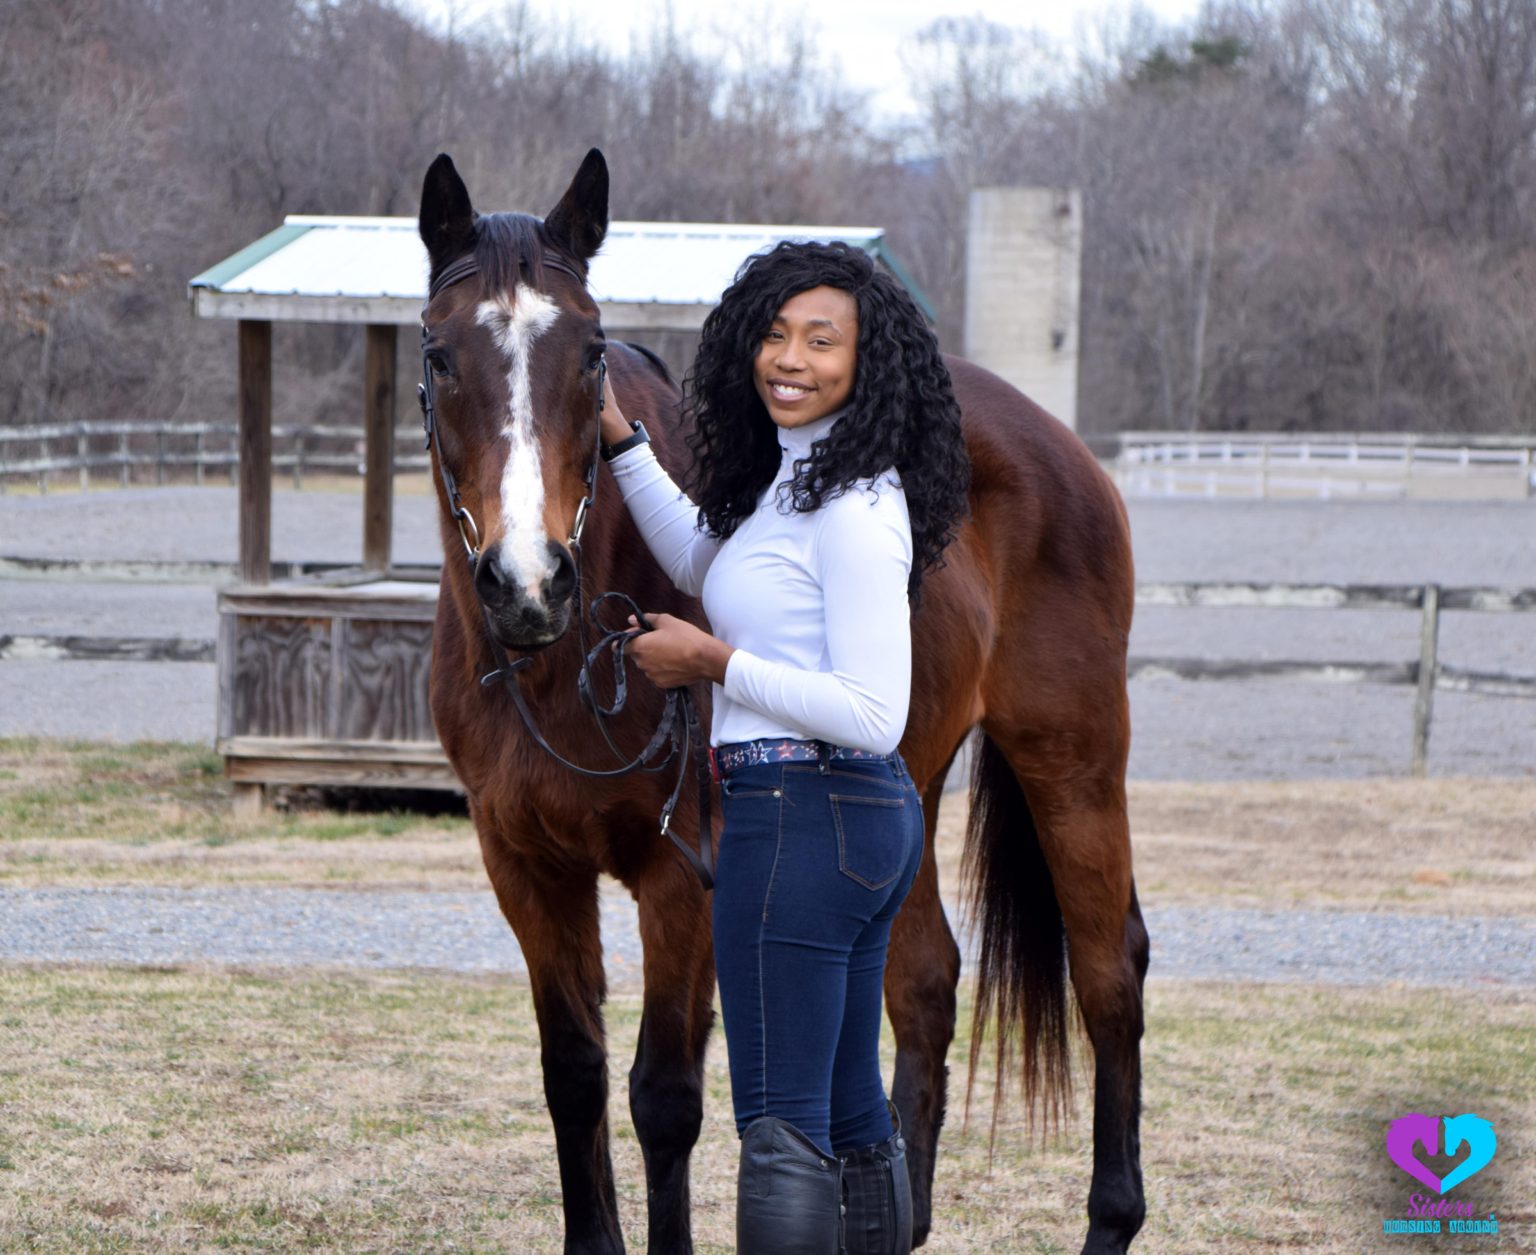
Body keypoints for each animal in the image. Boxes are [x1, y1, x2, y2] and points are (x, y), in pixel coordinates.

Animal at [414, 149, 1148, 1253]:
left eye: (590, 353)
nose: (528, 581)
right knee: (923, 979)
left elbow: (664, 1098)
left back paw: (1113, 1214)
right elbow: (575, 1077)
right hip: (906, 772)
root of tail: (1056, 447)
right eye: (441, 354)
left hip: (1074, 756)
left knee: (1110, 975)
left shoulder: (684, 881)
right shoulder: (526, 868)